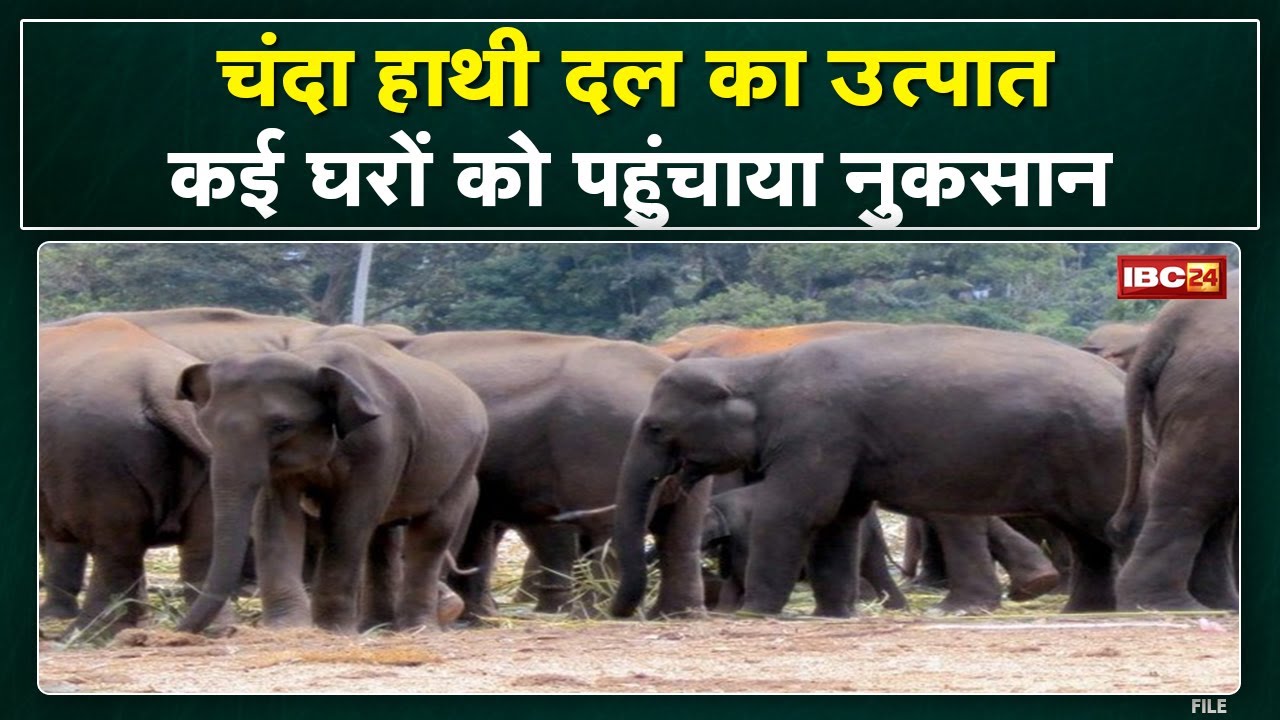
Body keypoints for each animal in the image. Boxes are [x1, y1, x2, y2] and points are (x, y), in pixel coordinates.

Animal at [175, 335, 488, 634]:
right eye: (205, 425)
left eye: (282, 426)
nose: (179, 630)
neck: (312, 361)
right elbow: (274, 518)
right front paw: (287, 627)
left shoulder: (381, 443)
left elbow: (350, 520)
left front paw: (333, 630)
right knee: (383, 538)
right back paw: (375, 626)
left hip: (466, 462)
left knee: (432, 532)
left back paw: (420, 628)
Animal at [702, 484, 908, 612]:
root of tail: (875, 521)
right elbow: (732, 572)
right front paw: (724, 611)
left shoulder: (741, 531)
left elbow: (740, 570)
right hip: (869, 541)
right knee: (876, 570)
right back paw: (898, 608)